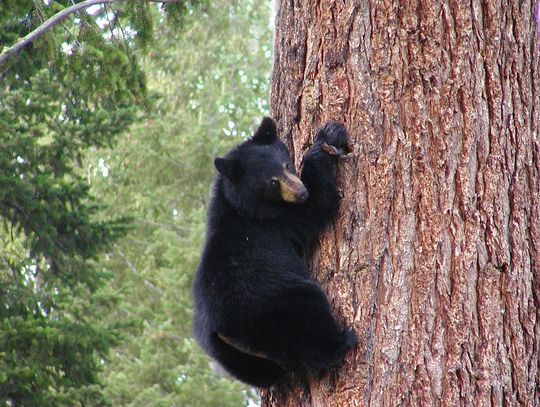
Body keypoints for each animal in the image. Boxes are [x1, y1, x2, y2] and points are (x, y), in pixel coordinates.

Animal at [192, 118, 356, 388]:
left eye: (286, 165)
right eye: (272, 182)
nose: (300, 192)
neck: (237, 205)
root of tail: (222, 330)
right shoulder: (276, 222)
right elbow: (318, 205)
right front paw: (326, 139)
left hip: (228, 355)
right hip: (276, 307)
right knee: (308, 322)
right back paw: (344, 341)